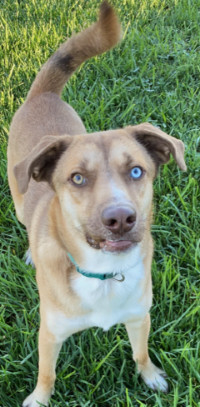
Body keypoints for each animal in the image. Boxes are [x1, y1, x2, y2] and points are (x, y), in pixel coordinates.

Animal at [7, 1, 187, 406]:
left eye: (136, 171)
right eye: (77, 178)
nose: (120, 218)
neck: (105, 274)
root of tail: (42, 95)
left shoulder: (139, 316)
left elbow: (140, 352)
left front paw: (150, 376)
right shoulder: (50, 332)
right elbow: (46, 373)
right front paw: (39, 398)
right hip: (18, 197)